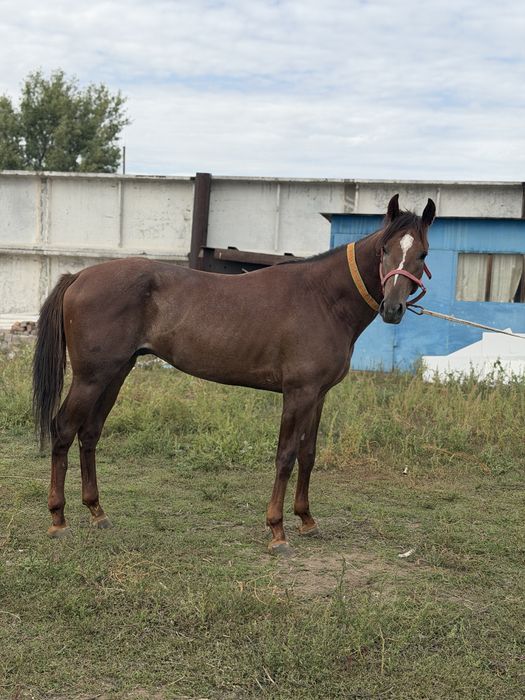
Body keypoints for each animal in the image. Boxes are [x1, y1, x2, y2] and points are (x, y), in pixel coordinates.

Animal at [33, 194, 435, 555]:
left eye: (422, 254)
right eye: (384, 249)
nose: (393, 308)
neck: (323, 298)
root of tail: (79, 275)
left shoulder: (318, 395)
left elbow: (308, 454)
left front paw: (307, 520)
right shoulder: (299, 393)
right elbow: (286, 456)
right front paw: (277, 531)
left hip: (115, 374)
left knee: (89, 433)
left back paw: (97, 512)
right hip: (91, 378)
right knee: (64, 430)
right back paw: (58, 519)